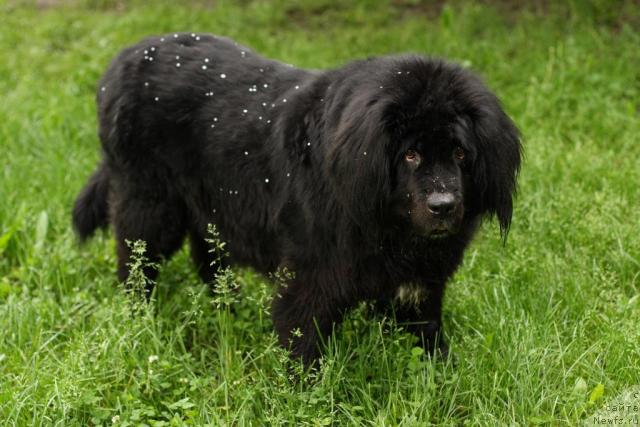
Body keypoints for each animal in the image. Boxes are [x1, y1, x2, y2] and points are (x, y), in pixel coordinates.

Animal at [72, 33, 524, 366]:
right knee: (136, 263)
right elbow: (302, 335)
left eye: (460, 153)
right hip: (150, 203)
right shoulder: (312, 272)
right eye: (410, 154)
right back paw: (142, 321)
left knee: (207, 256)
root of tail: (123, 59)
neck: (386, 222)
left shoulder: (420, 283)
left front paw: (442, 373)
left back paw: (229, 307)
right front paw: (307, 396)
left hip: (213, 203)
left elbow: (426, 332)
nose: (443, 205)